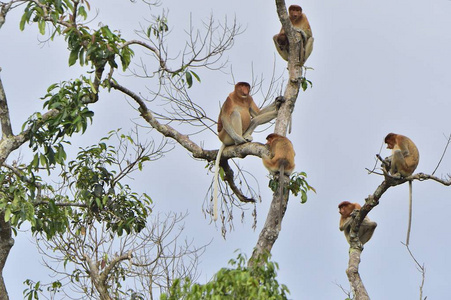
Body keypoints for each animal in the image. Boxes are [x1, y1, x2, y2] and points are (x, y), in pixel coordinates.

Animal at [214, 82, 284, 220]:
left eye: (247, 86)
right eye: (242, 86)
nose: (246, 90)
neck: (240, 98)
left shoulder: (249, 98)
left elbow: (257, 113)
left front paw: (278, 101)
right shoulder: (229, 100)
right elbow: (224, 117)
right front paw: (239, 140)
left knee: (255, 119)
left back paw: (247, 136)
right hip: (225, 134)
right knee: (235, 114)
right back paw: (239, 141)